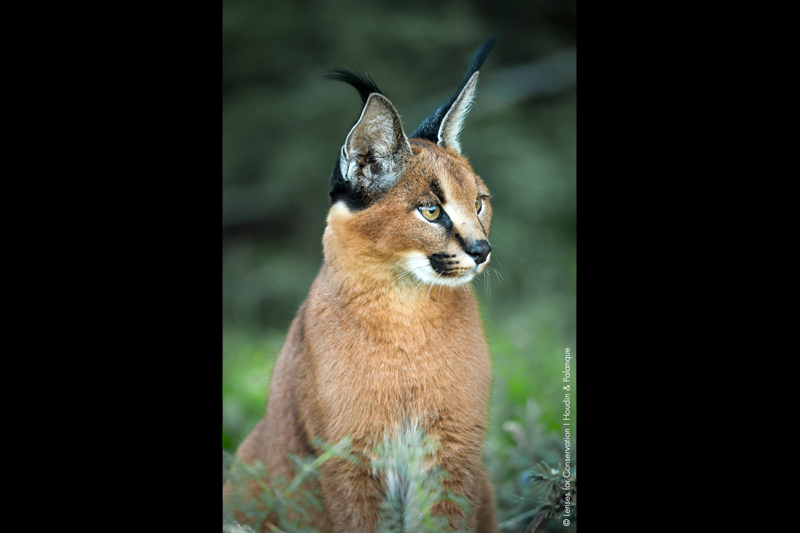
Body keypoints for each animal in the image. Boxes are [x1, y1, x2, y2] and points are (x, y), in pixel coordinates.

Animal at [228, 35, 496, 528]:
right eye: (431, 210)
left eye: (479, 202)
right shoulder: (348, 458)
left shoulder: (453, 451)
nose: (482, 249)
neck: (406, 313)